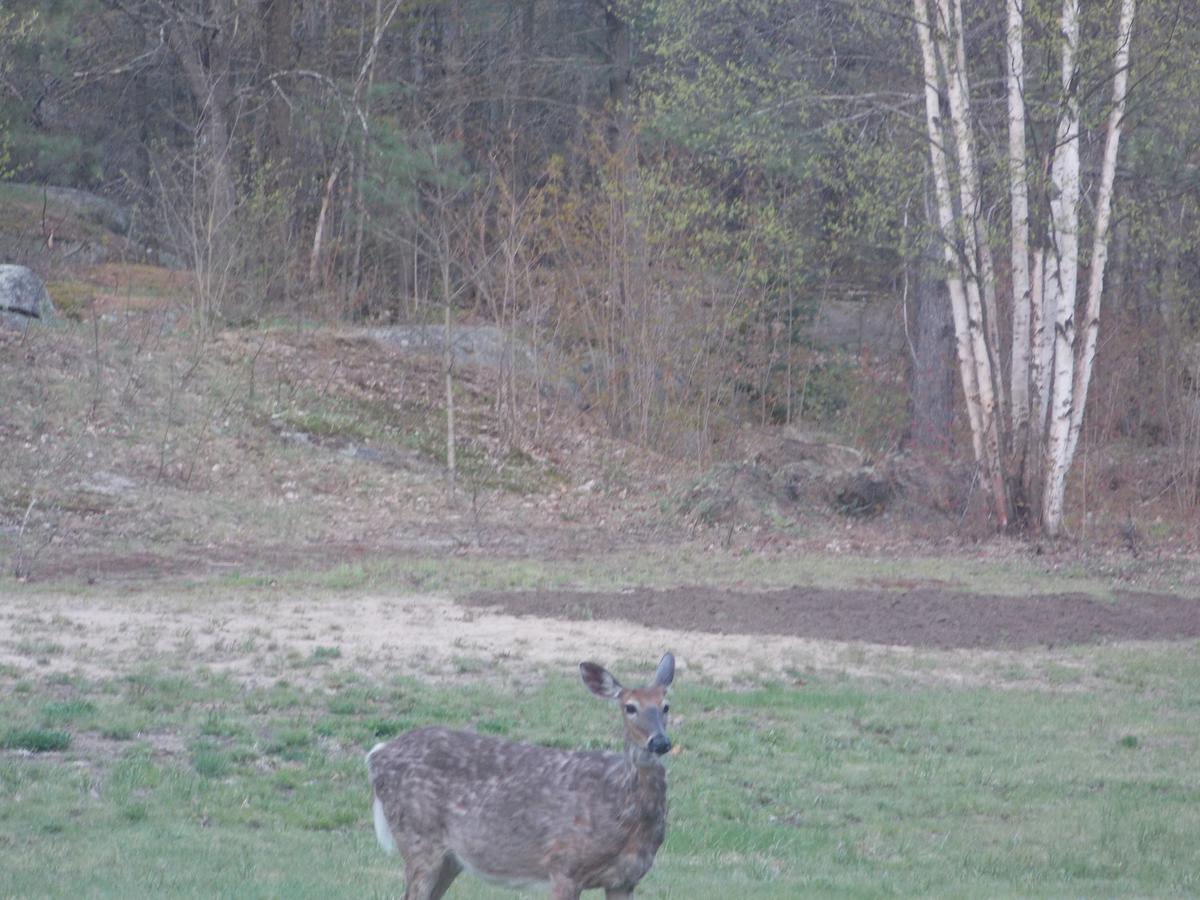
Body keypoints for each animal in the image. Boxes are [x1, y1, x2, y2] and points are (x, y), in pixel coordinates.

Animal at [364, 657, 676, 900]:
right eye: (630, 707)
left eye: (666, 706)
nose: (660, 742)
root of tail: (376, 755)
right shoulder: (564, 865)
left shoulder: (626, 879)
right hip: (418, 838)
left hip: (450, 858)